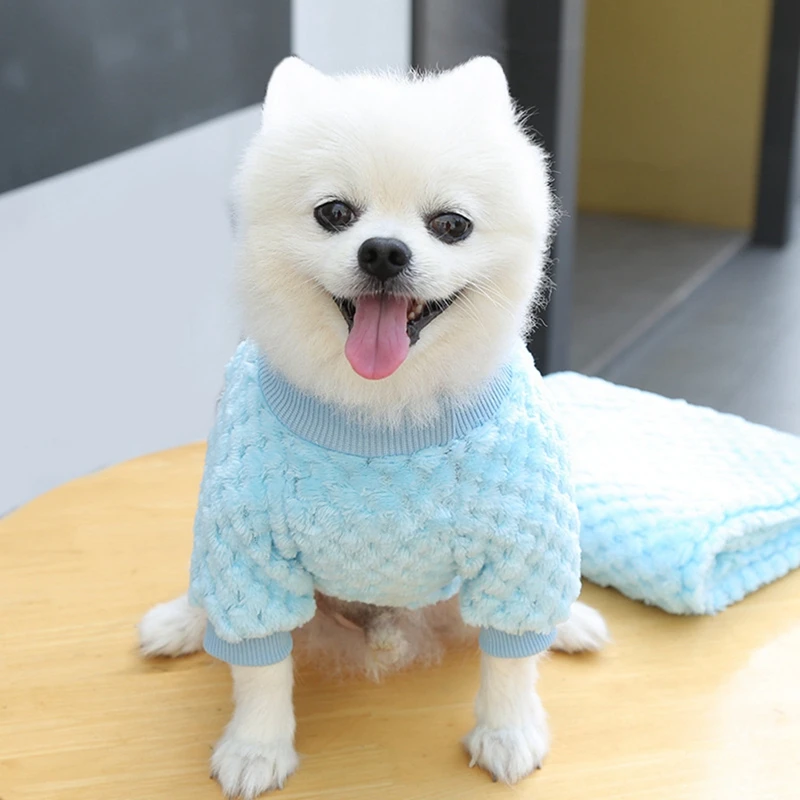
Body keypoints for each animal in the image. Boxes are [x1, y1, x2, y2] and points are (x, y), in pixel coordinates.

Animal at [139, 56, 608, 799]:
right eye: (334, 213)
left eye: (451, 225)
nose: (384, 251)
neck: (385, 415)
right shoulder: (246, 552)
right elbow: (258, 668)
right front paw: (256, 746)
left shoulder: (522, 549)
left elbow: (509, 662)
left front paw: (508, 731)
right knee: (208, 597)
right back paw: (183, 620)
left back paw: (573, 623)